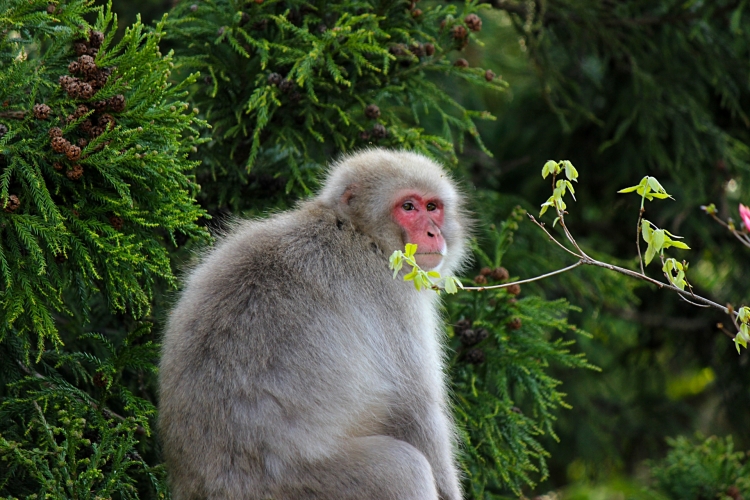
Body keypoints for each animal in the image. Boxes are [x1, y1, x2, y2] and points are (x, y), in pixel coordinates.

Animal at [160, 148, 470, 500]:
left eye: (432, 207)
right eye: (408, 207)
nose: (433, 233)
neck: (358, 233)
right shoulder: (393, 297)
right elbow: (415, 411)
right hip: (304, 486)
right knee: (405, 469)